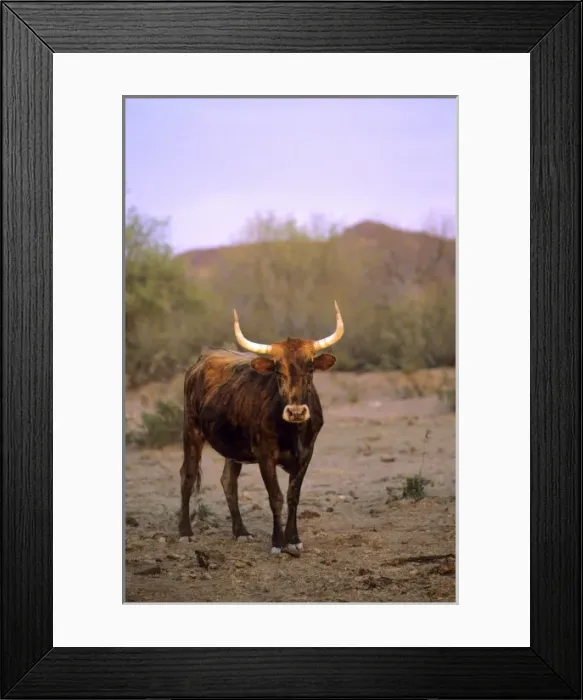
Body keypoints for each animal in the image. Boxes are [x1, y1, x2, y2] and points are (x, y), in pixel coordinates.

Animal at [178, 302, 344, 556]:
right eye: (278, 370)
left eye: (310, 368)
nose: (296, 411)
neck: (292, 431)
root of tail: (202, 359)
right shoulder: (265, 455)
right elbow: (276, 497)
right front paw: (278, 543)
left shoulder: (307, 454)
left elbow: (293, 496)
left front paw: (293, 539)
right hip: (191, 431)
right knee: (187, 475)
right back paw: (185, 532)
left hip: (232, 447)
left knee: (228, 482)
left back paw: (241, 532)